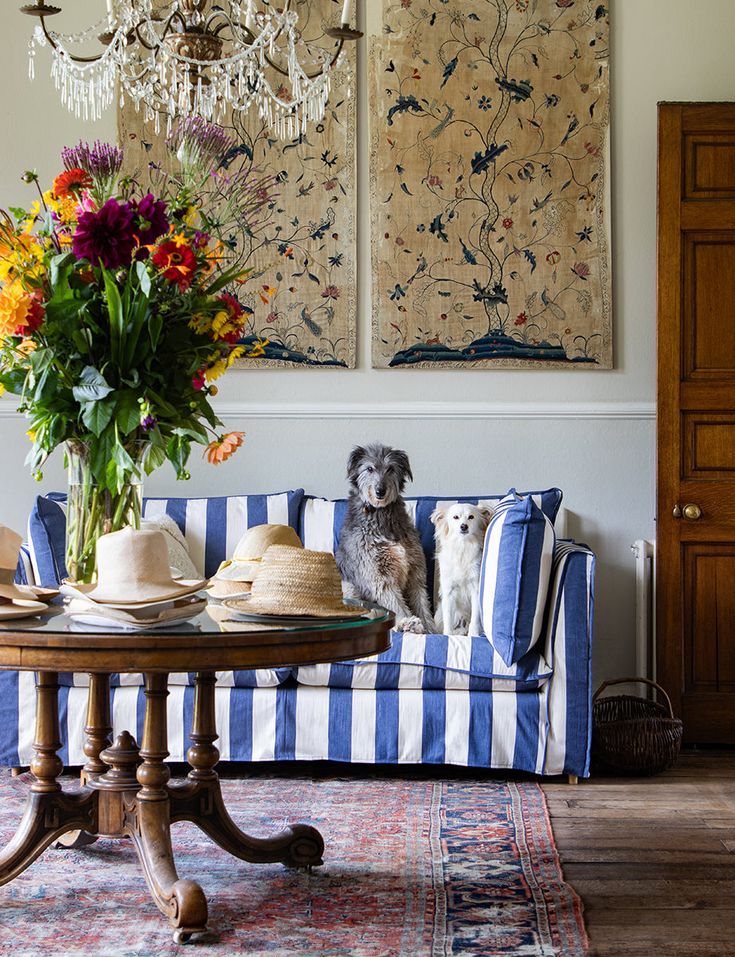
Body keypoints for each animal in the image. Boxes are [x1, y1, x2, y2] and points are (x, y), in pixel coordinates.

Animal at [336, 442, 434, 636]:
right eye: (369, 468)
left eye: (390, 469)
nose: (380, 491)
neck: (381, 514)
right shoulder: (379, 576)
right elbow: (395, 604)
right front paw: (407, 621)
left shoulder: (415, 573)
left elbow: (422, 605)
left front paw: (430, 628)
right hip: (348, 587)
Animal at [432, 500, 494, 636]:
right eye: (455, 517)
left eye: (471, 517)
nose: (464, 526)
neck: (463, 547)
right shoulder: (449, 592)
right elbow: (448, 618)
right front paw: (448, 634)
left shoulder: (475, 590)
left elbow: (475, 618)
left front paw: (473, 634)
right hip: (439, 614)